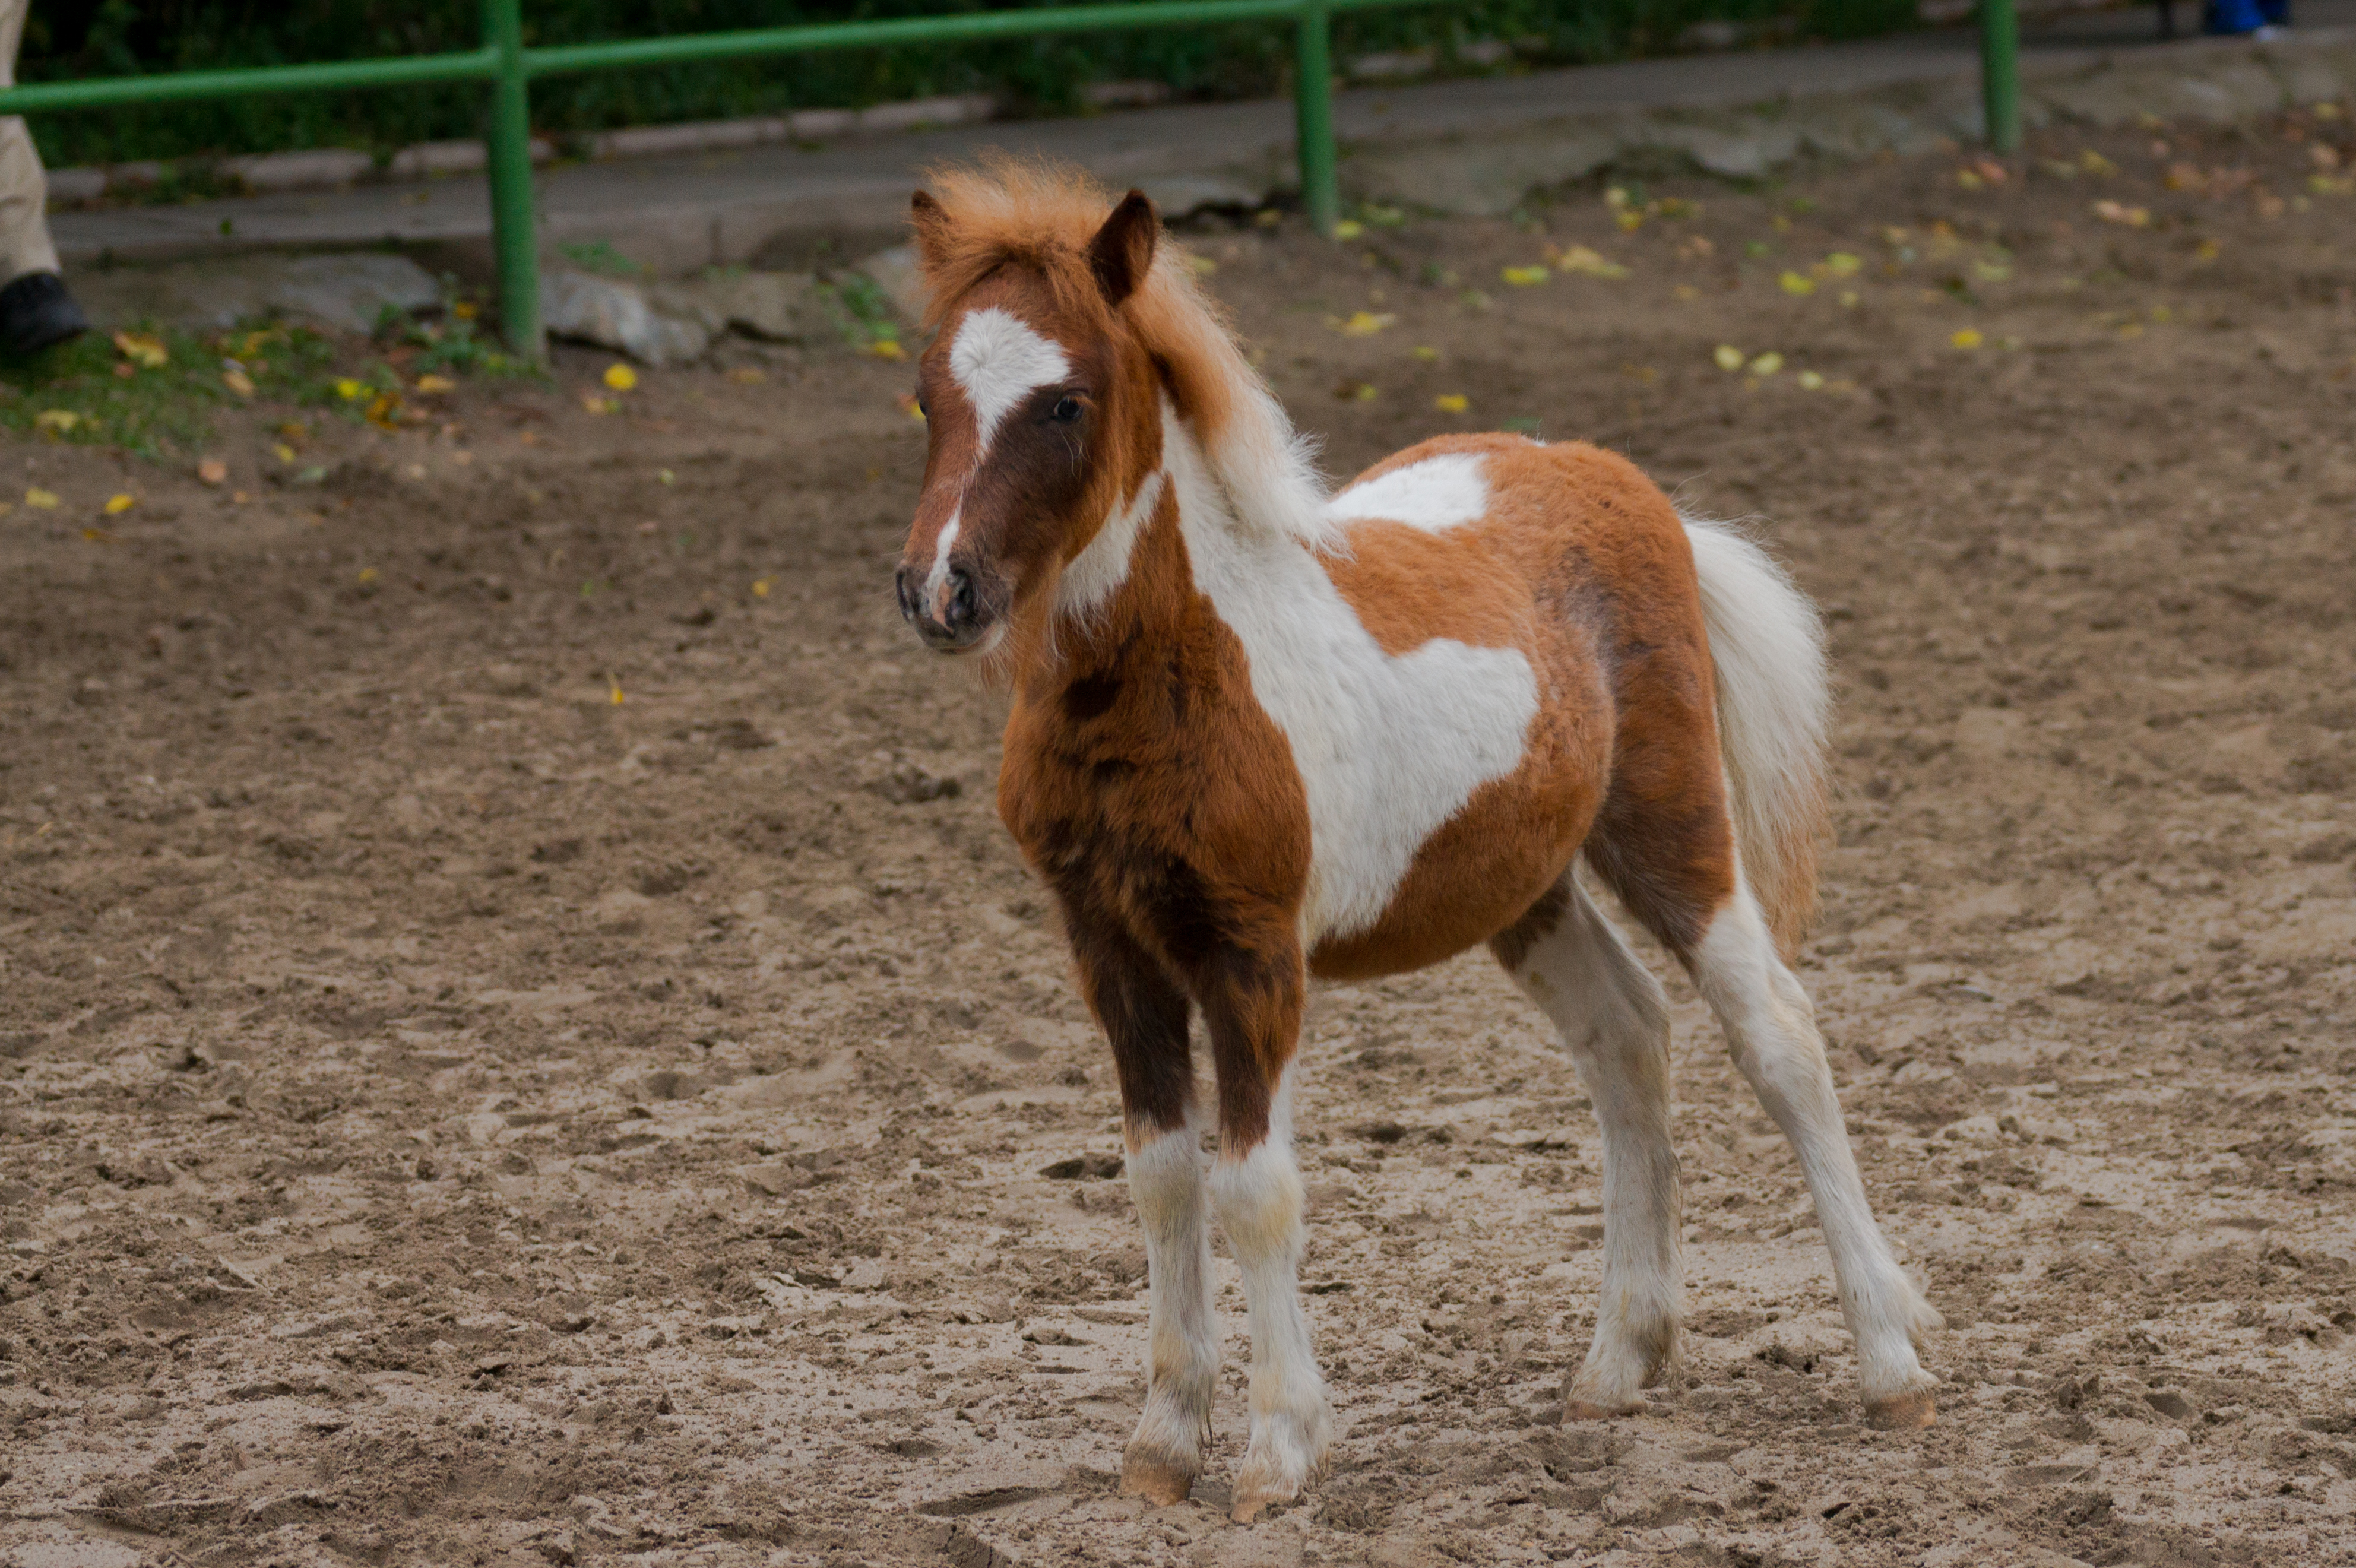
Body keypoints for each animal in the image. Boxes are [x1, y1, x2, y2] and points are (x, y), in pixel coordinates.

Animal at [885, 164, 1931, 1516]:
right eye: (927, 394)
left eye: (1065, 400)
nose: (940, 593)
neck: (1181, 670)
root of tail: (1623, 483)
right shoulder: (1109, 946)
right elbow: (1161, 1176)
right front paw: (1163, 1443)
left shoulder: (1252, 954)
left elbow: (1255, 1187)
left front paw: (1279, 1450)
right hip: (1522, 886)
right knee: (1626, 1039)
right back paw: (1618, 1361)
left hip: (1670, 828)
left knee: (1779, 1036)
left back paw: (1891, 1362)